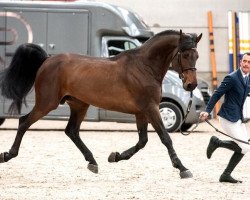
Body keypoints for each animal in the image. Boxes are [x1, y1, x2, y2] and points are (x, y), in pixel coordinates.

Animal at [0, 29, 202, 178]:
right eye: (184, 54)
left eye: (197, 56)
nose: (191, 85)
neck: (144, 67)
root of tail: (48, 59)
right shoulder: (150, 108)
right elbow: (165, 138)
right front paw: (182, 168)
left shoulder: (141, 112)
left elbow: (142, 141)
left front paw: (115, 156)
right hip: (47, 103)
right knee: (24, 122)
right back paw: (8, 155)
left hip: (79, 105)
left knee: (71, 131)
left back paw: (92, 162)